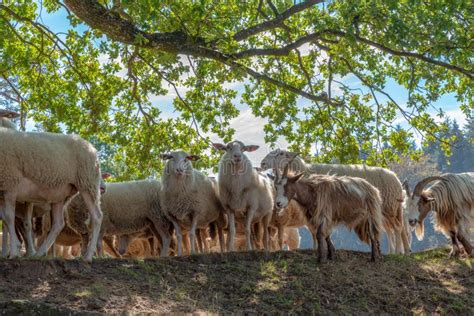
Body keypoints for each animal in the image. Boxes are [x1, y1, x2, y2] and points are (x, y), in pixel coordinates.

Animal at [0, 123, 103, 260]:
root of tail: (91, 147)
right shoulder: (2, 193)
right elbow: (5, 219)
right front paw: (15, 249)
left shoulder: (11, 185)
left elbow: (8, 218)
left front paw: (14, 252)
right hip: (62, 194)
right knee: (58, 223)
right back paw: (39, 253)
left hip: (87, 182)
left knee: (97, 217)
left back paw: (88, 256)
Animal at [262, 149, 410, 256]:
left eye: (281, 153)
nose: (262, 163)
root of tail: (395, 177)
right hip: (386, 211)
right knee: (393, 229)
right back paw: (396, 251)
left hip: (389, 207)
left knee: (398, 228)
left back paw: (398, 252)